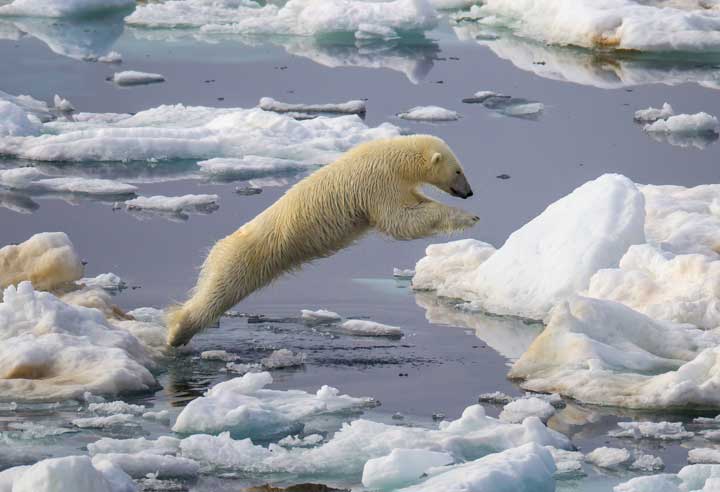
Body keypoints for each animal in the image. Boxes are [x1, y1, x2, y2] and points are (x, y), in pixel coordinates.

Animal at [166, 134, 478, 346]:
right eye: (459, 171)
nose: (469, 193)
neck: (392, 156)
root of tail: (218, 248)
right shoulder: (378, 183)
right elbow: (401, 221)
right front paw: (468, 217)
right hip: (244, 259)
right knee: (216, 294)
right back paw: (176, 333)